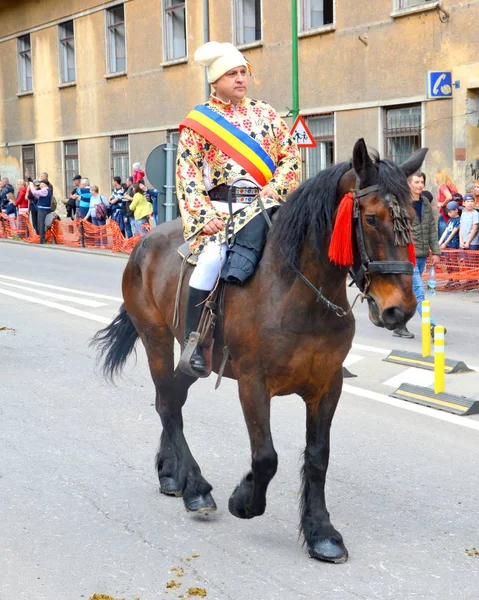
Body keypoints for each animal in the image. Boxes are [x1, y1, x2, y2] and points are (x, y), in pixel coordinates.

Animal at [93, 139, 428, 564]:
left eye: (411, 214)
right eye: (370, 218)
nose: (400, 310)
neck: (296, 290)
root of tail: (144, 243)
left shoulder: (327, 385)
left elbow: (318, 455)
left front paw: (321, 533)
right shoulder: (253, 383)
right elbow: (266, 456)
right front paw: (244, 499)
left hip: (194, 360)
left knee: (172, 401)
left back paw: (171, 474)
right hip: (155, 338)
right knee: (167, 404)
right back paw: (196, 488)